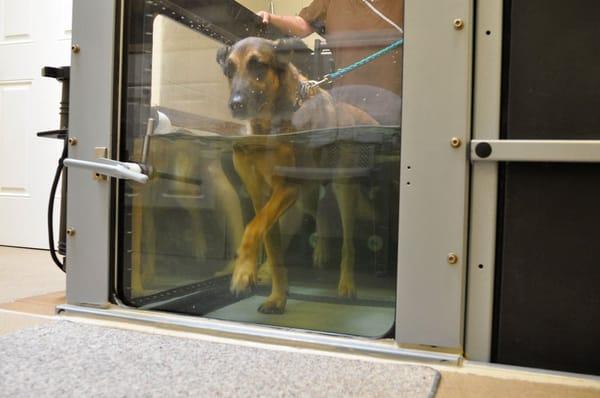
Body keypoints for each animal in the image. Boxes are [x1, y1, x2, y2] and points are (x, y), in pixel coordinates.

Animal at [216, 35, 378, 312]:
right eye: (229, 70)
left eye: (259, 65)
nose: (235, 105)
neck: (267, 126)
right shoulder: (262, 196)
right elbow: (270, 245)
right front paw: (277, 296)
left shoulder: (287, 188)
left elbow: (251, 228)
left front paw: (242, 272)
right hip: (307, 194)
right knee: (321, 213)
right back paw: (319, 251)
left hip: (343, 188)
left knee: (348, 243)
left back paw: (347, 284)